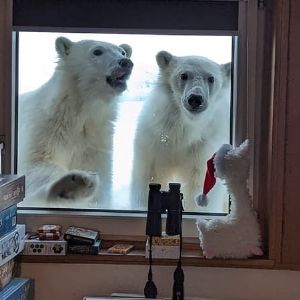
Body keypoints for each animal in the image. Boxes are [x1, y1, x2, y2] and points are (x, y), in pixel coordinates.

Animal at [17, 36, 132, 207]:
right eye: (97, 51)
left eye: (123, 51)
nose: (126, 62)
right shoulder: (43, 129)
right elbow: (35, 164)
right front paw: (75, 183)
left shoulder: (95, 139)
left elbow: (100, 174)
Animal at [131, 51, 230, 211]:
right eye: (183, 75)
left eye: (211, 78)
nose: (195, 99)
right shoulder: (155, 138)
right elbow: (149, 175)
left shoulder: (203, 146)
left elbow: (199, 183)